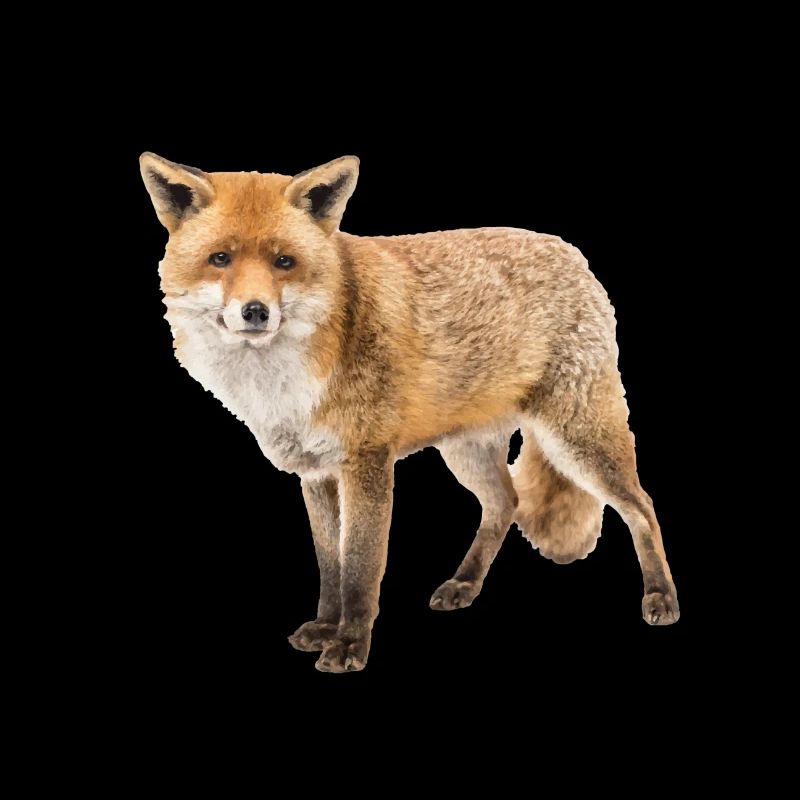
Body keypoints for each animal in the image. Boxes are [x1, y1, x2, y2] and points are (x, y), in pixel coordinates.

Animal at [140, 152, 679, 673]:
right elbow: (329, 563)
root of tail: (570, 250)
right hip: (468, 453)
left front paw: (349, 645)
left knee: (641, 506)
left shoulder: (368, 462)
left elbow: (359, 567)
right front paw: (326, 626)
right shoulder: (315, 473)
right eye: (220, 259)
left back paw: (661, 597)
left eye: (284, 262)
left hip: (577, 441)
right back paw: (464, 584)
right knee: (506, 503)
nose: (255, 311)